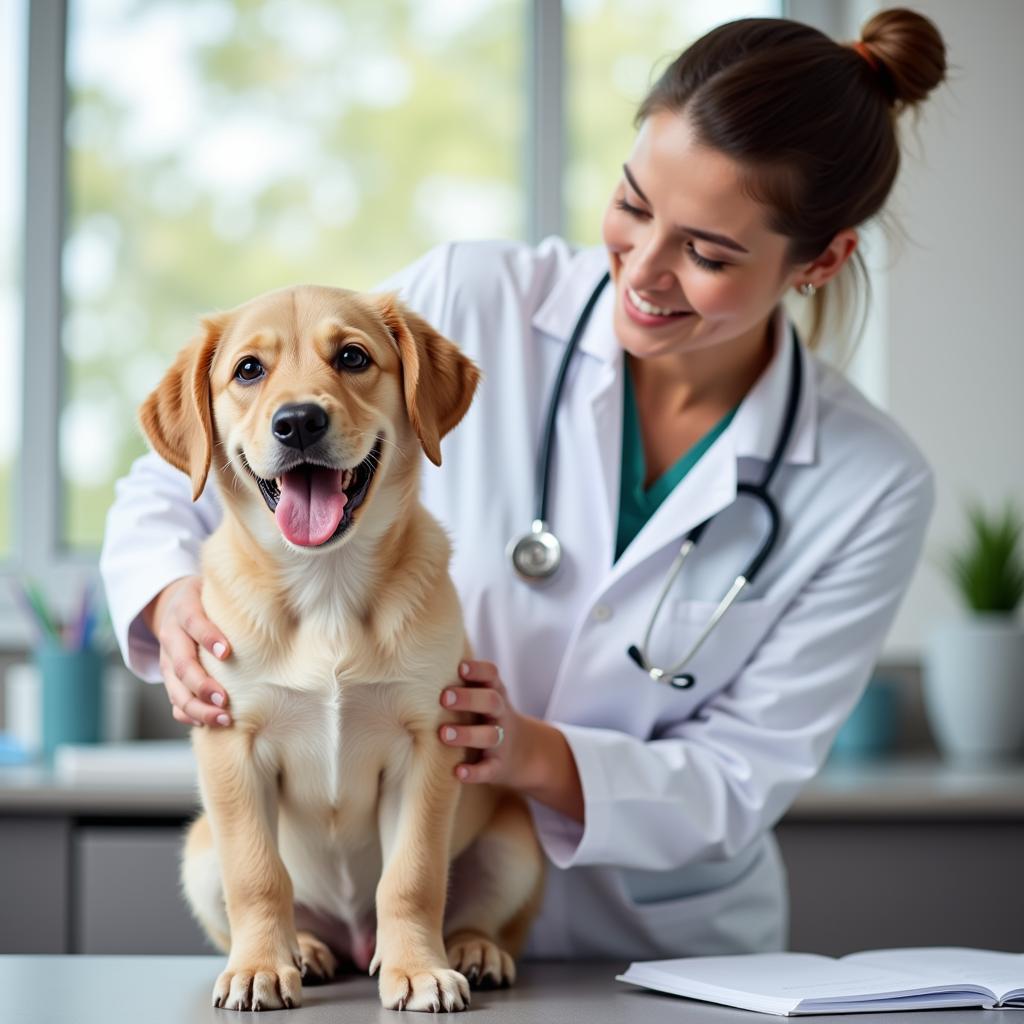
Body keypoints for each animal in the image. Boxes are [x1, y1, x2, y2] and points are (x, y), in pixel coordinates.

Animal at [142, 284, 552, 1011]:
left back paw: (469, 950)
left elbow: (413, 876)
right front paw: (259, 968)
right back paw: (303, 950)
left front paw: (418, 969)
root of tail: (354, 941)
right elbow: (258, 875)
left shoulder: (432, 743)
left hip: (514, 843)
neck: (325, 586)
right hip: (199, 850)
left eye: (354, 357)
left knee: (475, 913)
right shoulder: (231, 745)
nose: (298, 422)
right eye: (249, 370)